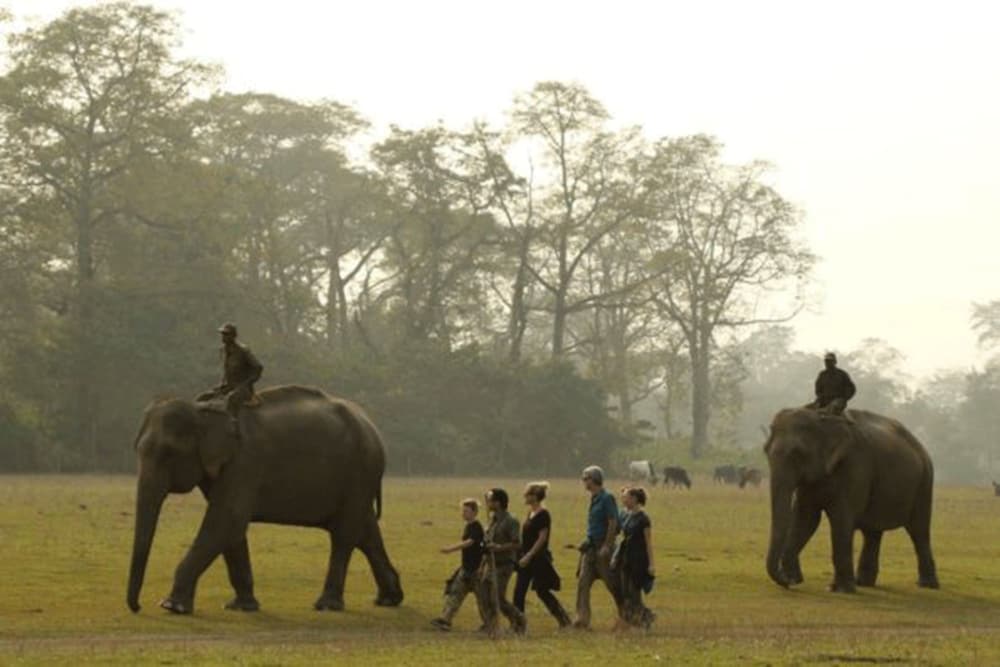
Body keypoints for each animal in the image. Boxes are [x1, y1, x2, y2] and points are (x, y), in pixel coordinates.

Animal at [126, 385, 404, 614]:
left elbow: (227, 520)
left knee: (344, 535)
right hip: (359, 479)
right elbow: (232, 530)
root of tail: (371, 426)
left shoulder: (245, 462)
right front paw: (241, 607)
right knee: (365, 531)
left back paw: (327, 605)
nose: (137, 607)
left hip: (361, 471)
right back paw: (389, 599)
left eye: (168, 453)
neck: (203, 410)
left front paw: (171, 606)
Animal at [764, 407, 939, 593]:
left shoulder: (855, 469)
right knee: (872, 532)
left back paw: (927, 585)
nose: (786, 582)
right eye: (766, 451)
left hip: (925, 482)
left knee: (918, 531)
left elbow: (841, 520)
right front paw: (795, 579)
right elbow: (805, 519)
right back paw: (864, 583)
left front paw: (839, 590)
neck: (823, 420)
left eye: (797, 454)